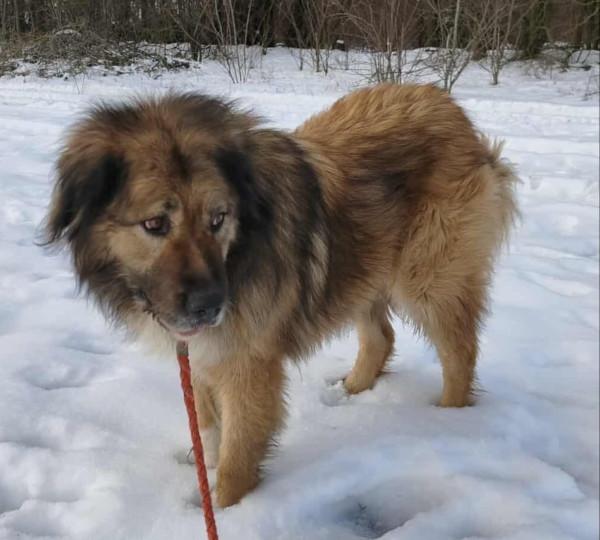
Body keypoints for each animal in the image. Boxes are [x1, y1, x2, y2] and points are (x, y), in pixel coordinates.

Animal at [44, 84, 518, 507]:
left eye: (218, 218)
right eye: (156, 224)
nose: (211, 307)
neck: (238, 252)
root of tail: (451, 110)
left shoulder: (249, 366)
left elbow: (236, 456)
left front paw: (225, 510)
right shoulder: (203, 351)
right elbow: (208, 424)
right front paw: (203, 467)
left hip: (429, 278)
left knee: (460, 351)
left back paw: (449, 420)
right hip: (360, 268)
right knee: (381, 338)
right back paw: (352, 391)